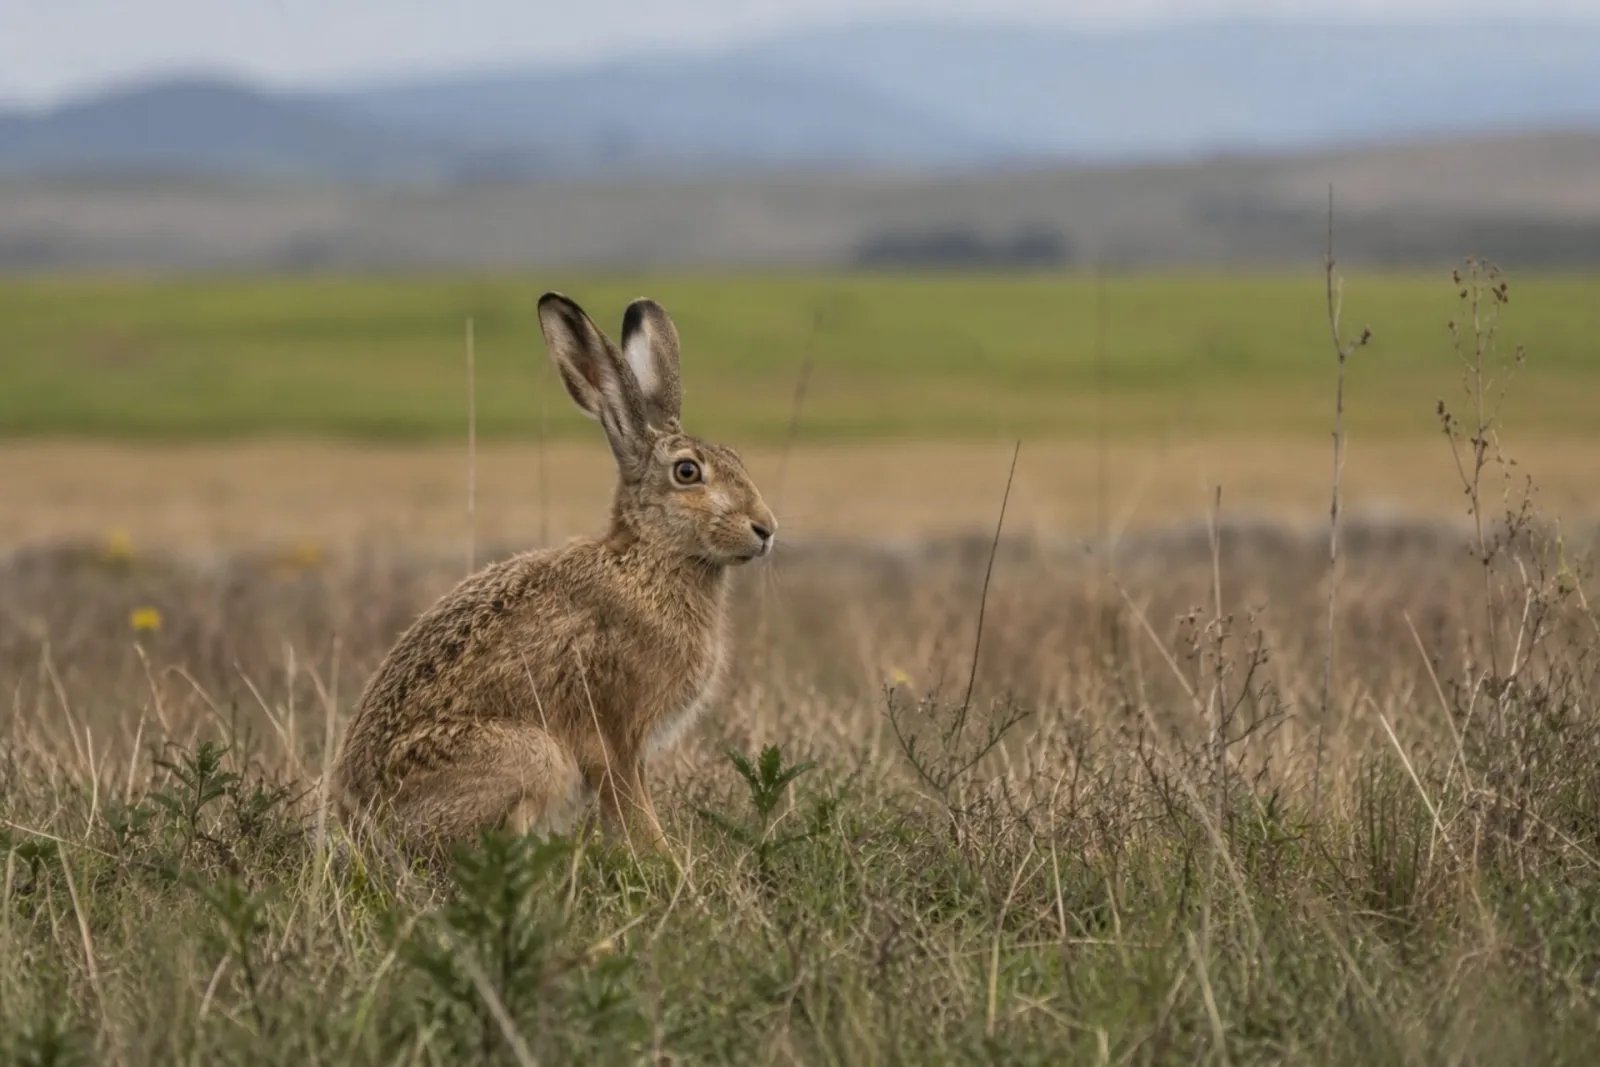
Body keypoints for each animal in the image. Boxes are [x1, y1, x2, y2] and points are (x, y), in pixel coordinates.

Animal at [331, 292, 777, 857]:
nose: (766, 528)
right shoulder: (613, 735)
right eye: (687, 472)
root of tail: (360, 825)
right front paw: (665, 862)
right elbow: (633, 808)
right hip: (529, 754)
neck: (650, 557)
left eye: (737, 458)